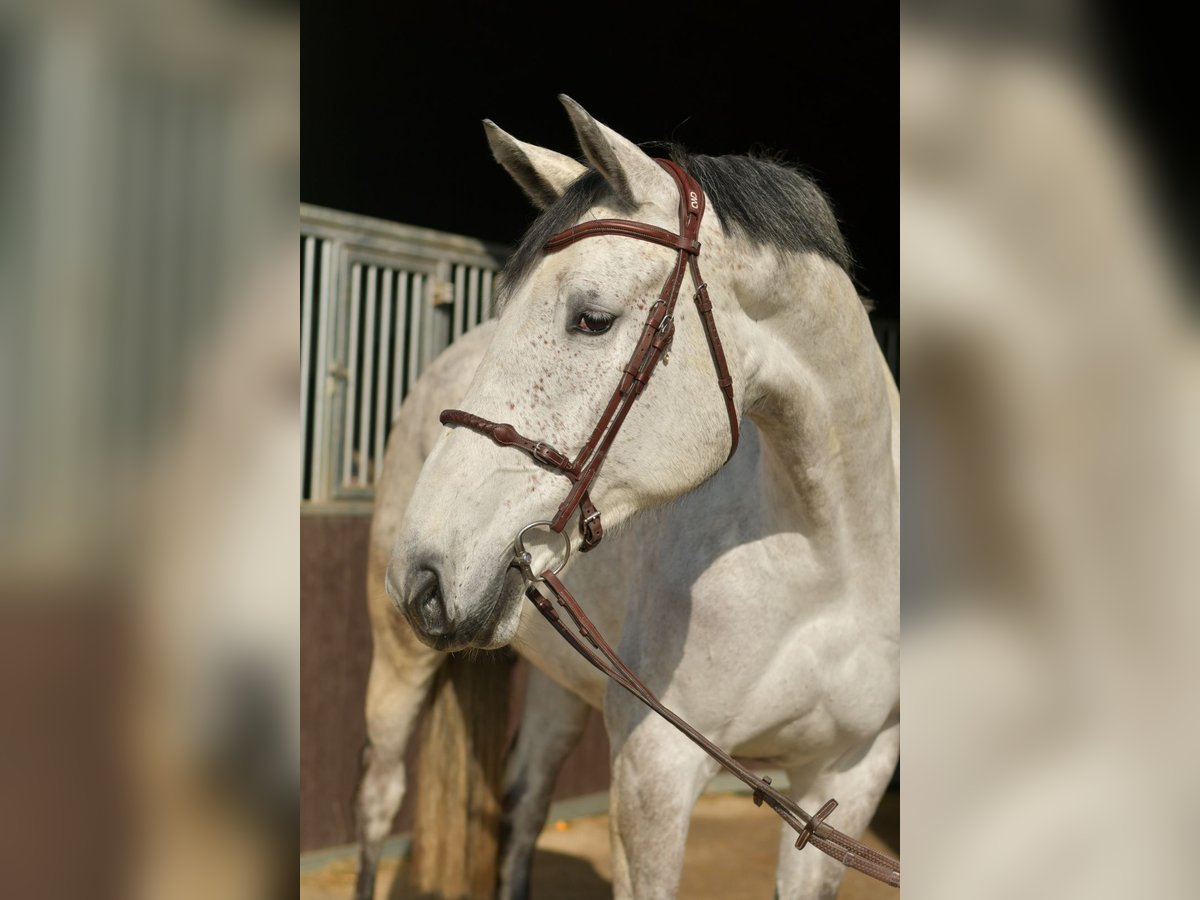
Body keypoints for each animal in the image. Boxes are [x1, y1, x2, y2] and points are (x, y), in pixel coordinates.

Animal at [356, 95, 899, 900]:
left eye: (592, 318)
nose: (421, 574)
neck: (828, 561)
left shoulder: (849, 779)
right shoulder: (655, 776)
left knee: (526, 796)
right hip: (399, 663)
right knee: (379, 795)